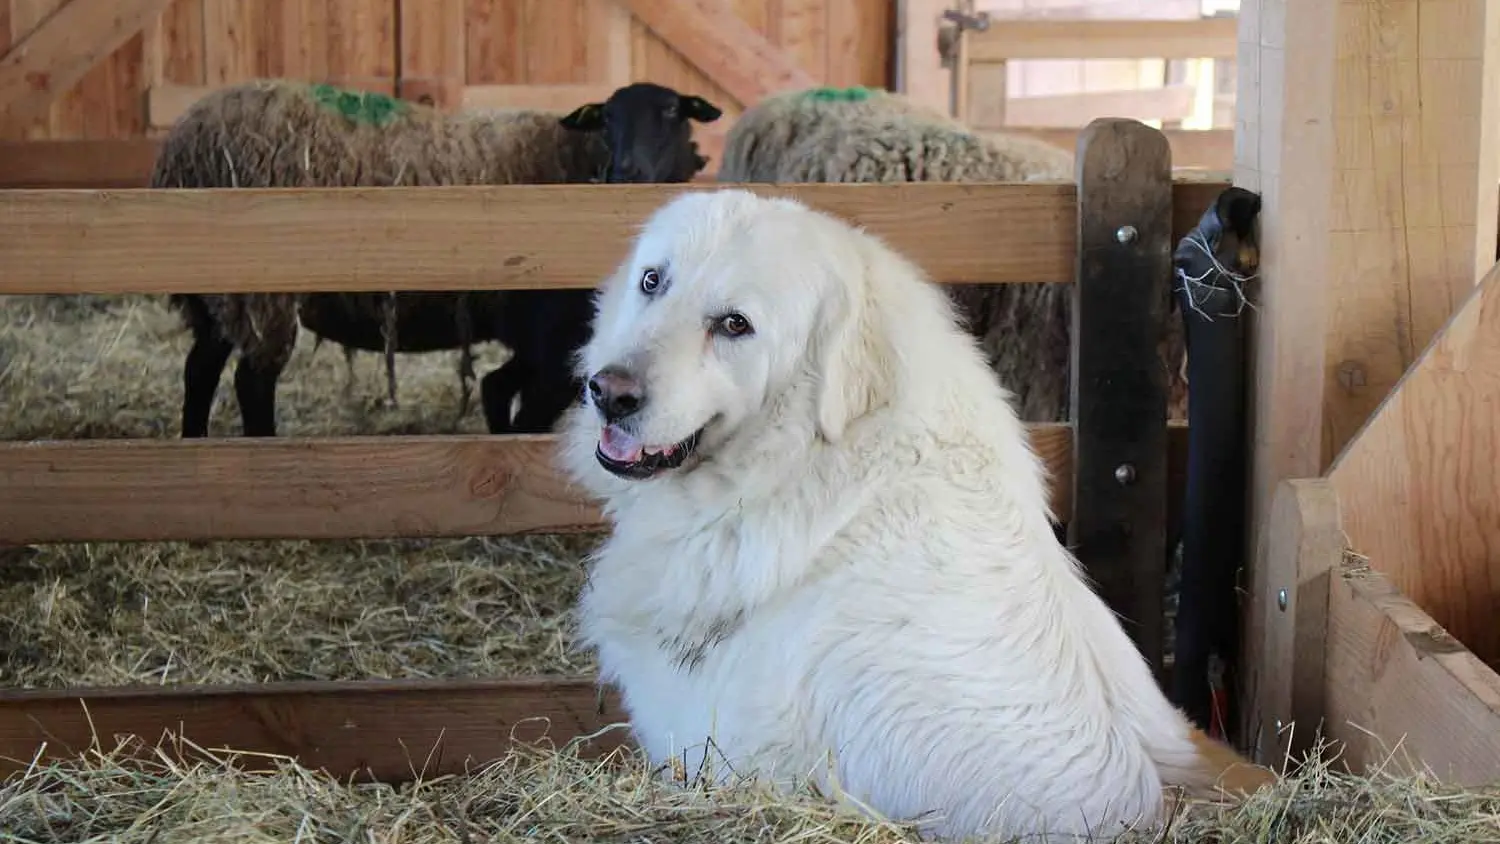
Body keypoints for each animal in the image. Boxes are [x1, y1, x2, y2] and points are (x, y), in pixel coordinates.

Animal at [161, 77, 723, 443]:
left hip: (217, 297)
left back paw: (195, 453)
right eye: (606, 118)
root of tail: (184, 142)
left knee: (200, 368)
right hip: (260, 293)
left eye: (672, 113)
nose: (627, 170)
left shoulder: (542, 341)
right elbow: (528, 426)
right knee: (251, 380)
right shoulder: (560, 343)